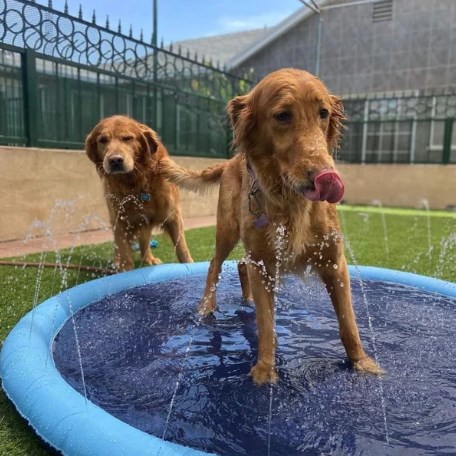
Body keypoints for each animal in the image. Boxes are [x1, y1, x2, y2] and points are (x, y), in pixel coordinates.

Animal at [85, 115, 192, 270]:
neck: (136, 181)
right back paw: (116, 262)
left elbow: (182, 248)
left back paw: (149, 259)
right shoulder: (120, 220)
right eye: (102, 140)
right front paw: (125, 271)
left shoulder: (173, 215)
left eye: (128, 138)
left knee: (145, 242)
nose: (115, 160)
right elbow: (124, 252)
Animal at [162, 68, 382, 384]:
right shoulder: (264, 264)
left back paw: (245, 300)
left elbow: (348, 322)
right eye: (282, 115)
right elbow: (266, 324)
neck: (291, 201)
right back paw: (206, 306)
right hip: (228, 230)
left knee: (242, 265)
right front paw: (265, 373)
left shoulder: (333, 261)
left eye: (323, 113)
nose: (326, 175)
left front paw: (362, 363)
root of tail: (230, 161)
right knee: (215, 263)